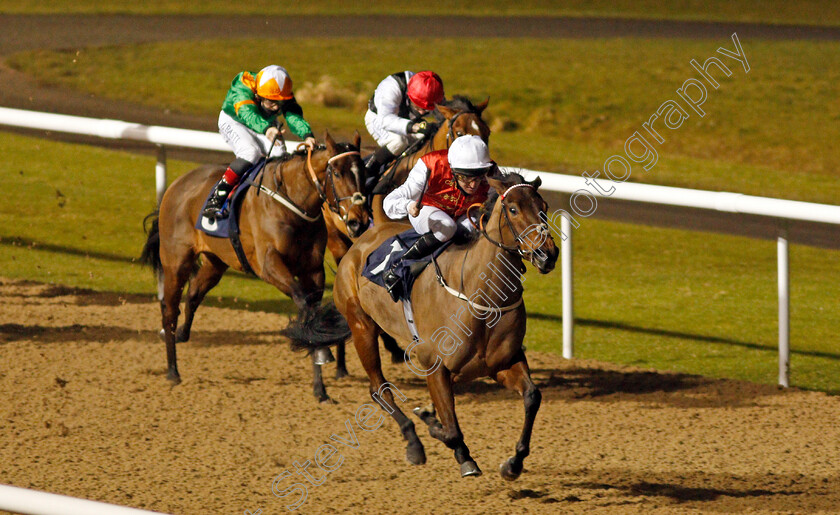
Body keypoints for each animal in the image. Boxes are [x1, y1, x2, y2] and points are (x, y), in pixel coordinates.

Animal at [141, 130, 368, 404]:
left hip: (215, 263)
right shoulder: (268, 264)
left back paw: (182, 334)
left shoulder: (313, 270)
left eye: (363, 171)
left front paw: (320, 386)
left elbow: (313, 309)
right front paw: (318, 347)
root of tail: (176, 185)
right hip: (176, 260)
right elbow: (303, 302)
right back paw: (172, 370)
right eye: (336, 172)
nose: (358, 221)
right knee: (169, 308)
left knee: (193, 294)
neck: (292, 202)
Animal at [286, 172, 560, 480]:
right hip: (361, 326)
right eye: (513, 209)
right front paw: (444, 436)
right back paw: (414, 442)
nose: (548, 254)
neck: (478, 294)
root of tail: (360, 242)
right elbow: (450, 430)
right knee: (379, 389)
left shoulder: (502, 363)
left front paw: (513, 463)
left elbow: (532, 397)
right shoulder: (435, 365)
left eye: (544, 206)